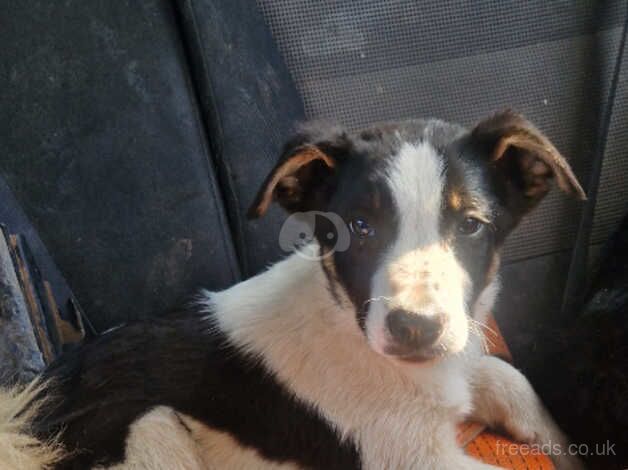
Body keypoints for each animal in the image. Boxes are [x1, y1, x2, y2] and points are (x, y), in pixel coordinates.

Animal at [1, 111, 588, 470]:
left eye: (470, 225)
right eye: (359, 227)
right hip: (152, 427)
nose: (414, 330)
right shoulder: (411, 458)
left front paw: (572, 449)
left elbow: (510, 378)